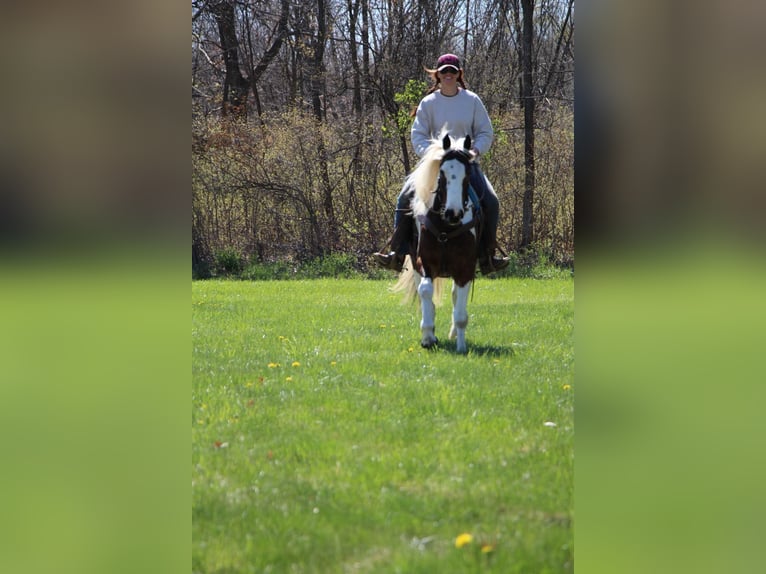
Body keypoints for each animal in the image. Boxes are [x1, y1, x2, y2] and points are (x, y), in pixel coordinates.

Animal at [396, 134, 480, 356]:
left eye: (467, 175)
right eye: (442, 174)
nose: (454, 213)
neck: (446, 228)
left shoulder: (465, 269)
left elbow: (460, 313)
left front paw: (461, 346)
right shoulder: (424, 263)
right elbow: (425, 291)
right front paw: (427, 336)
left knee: (456, 297)